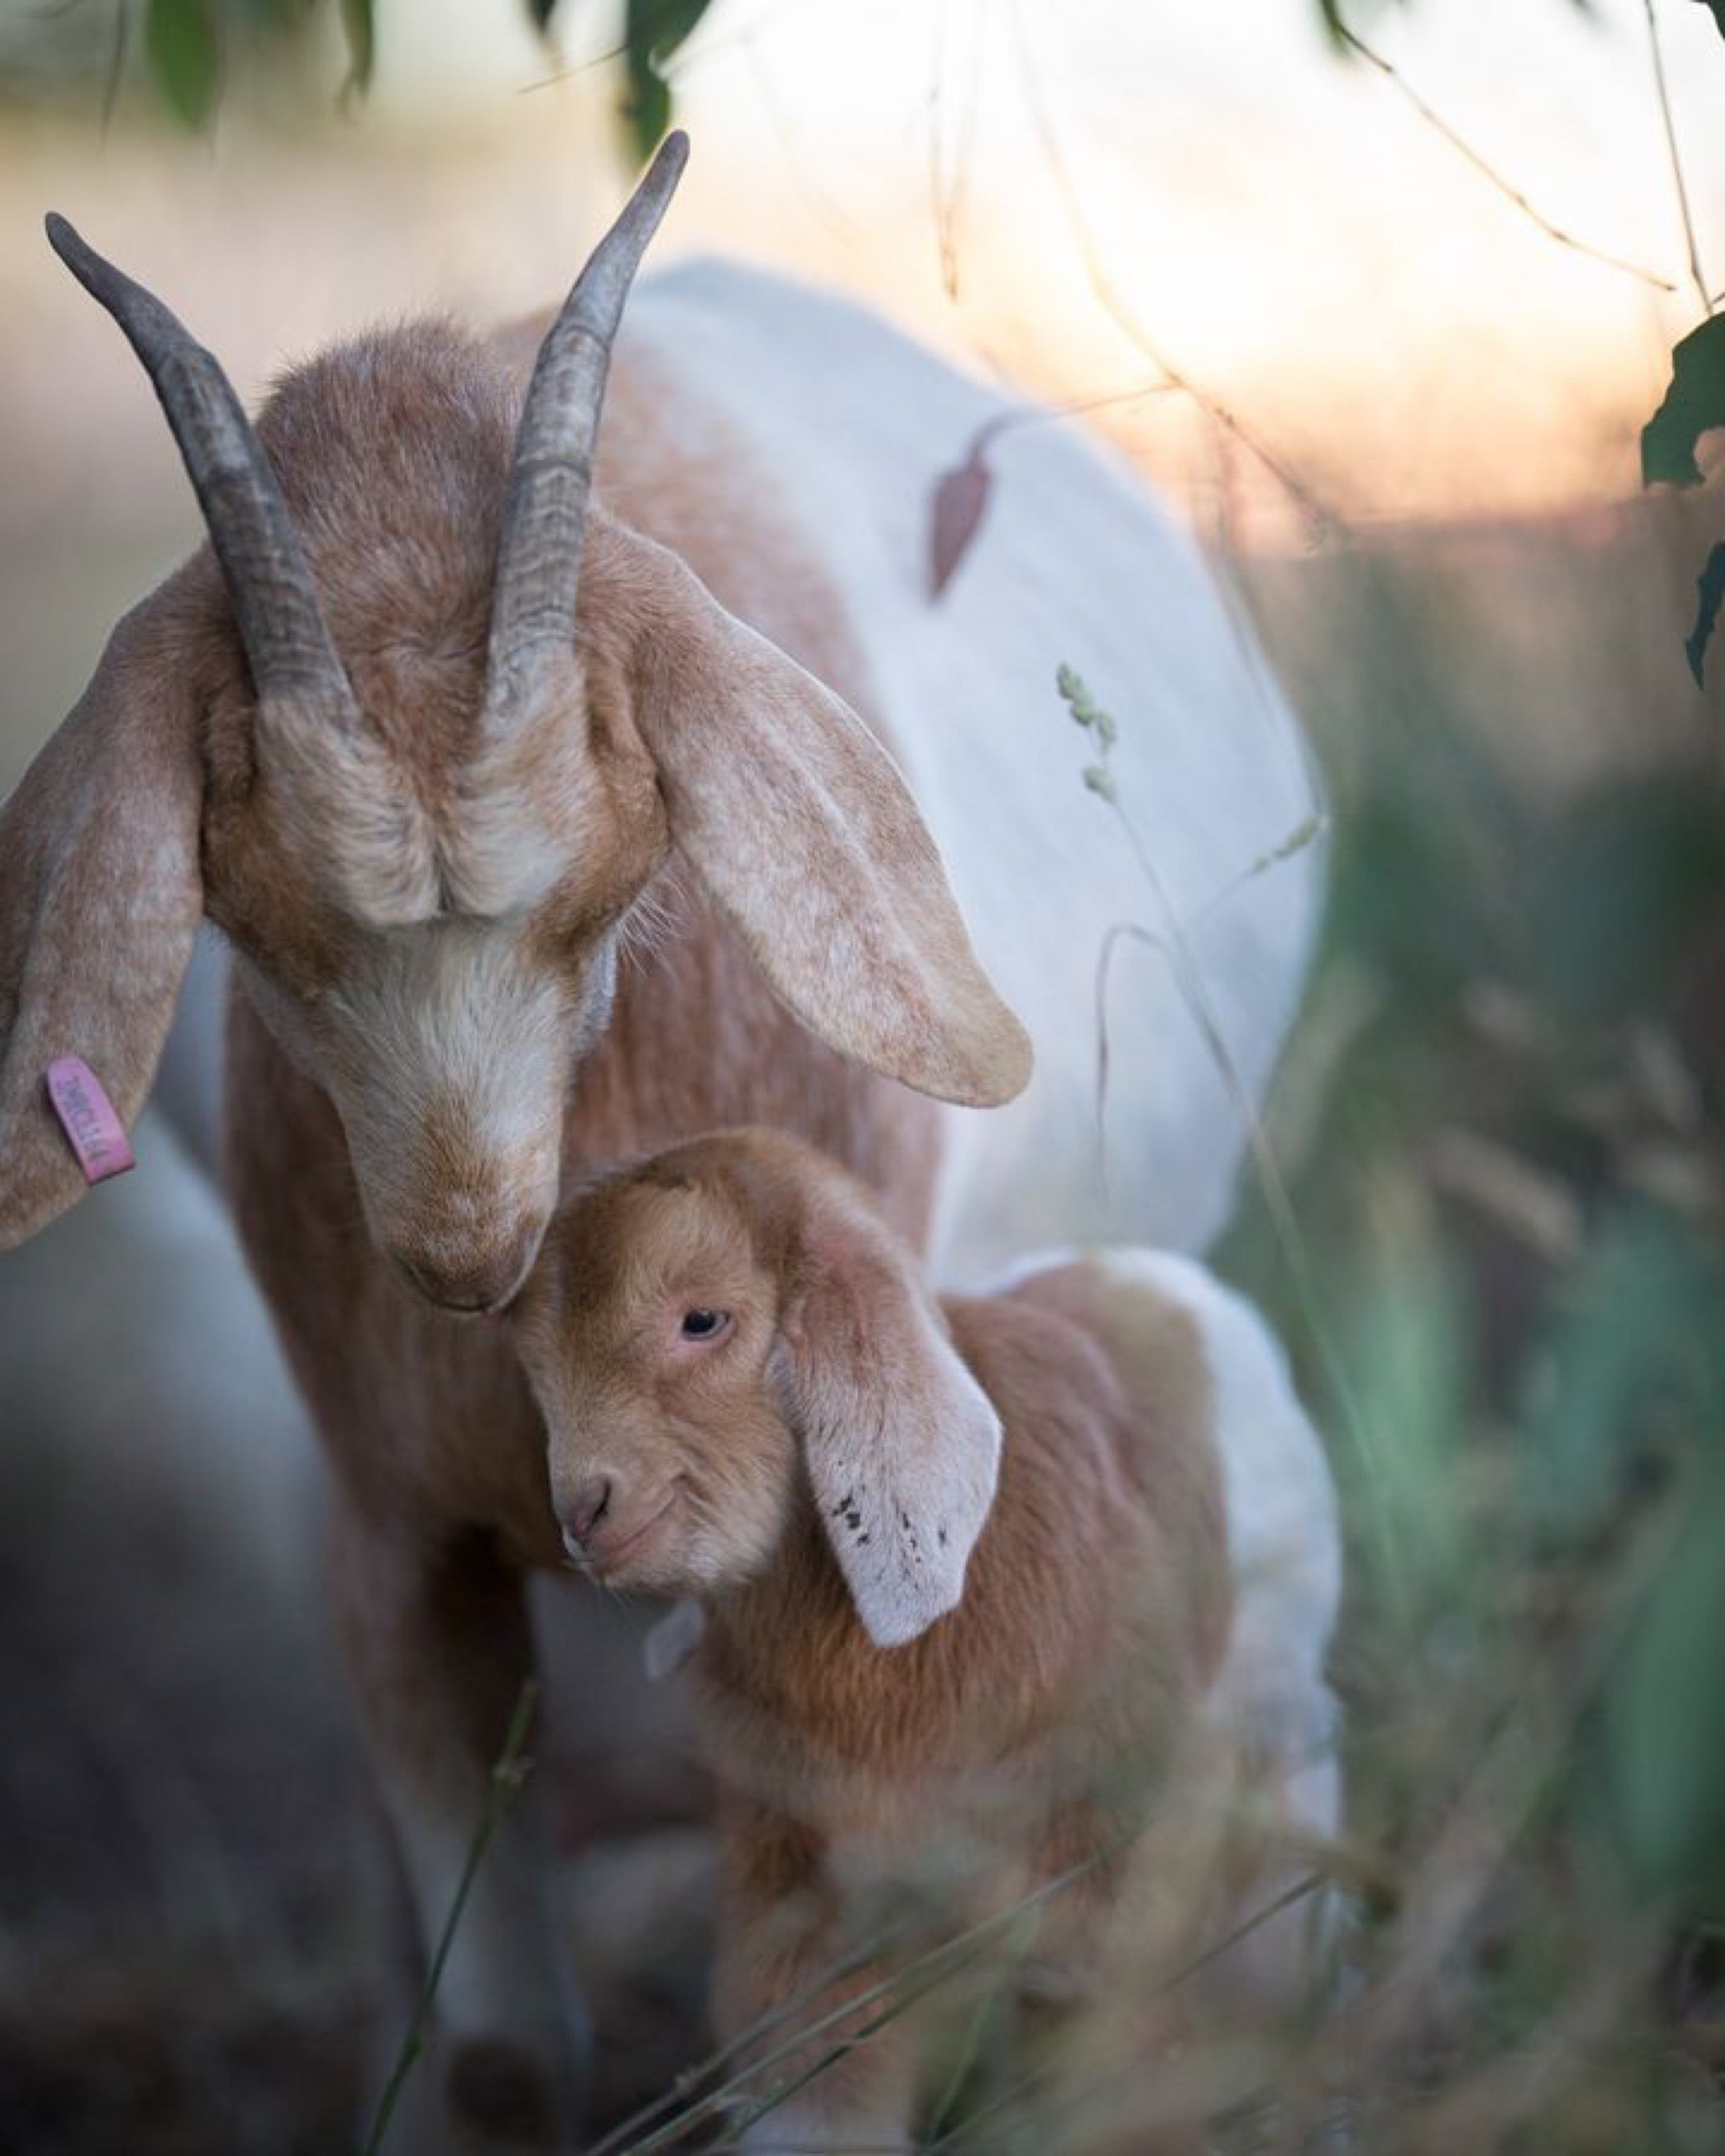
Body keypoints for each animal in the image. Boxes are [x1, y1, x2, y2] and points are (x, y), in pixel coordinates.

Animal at [510, 1125, 1342, 2154]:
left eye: (703, 1321)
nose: (583, 1512)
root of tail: (1151, 1280)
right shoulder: (797, 1874)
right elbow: (816, 2075)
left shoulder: (1106, 1865)